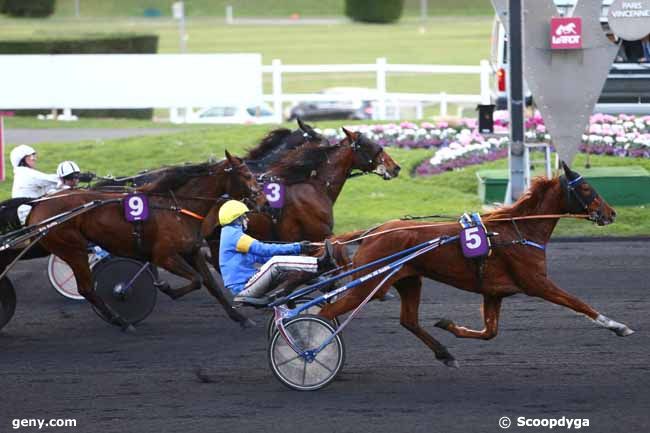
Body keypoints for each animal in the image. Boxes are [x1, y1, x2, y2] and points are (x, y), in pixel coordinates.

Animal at [23, 152, 260, 328]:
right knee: (86, 288)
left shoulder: (191, 251)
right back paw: (121, 321)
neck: (177, 206)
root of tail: (38, 206)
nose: (260, 199)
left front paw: (241, 318)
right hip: (73, 249)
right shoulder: (164, 256)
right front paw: (165, 287)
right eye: (246, 174)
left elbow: (211, 284)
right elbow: (197, 280)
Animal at [318, 163, 632, 368]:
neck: (519, 231)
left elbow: (490, 332)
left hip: (408, 279)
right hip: (369, 283)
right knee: (325, 312)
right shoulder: (536, 283)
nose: (611, 213)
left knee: (409, 320)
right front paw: (618, 326)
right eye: (587, 188)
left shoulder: (494, 292)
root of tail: (372, 231)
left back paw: (444, 354)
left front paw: (449, 325)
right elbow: (579, 303)